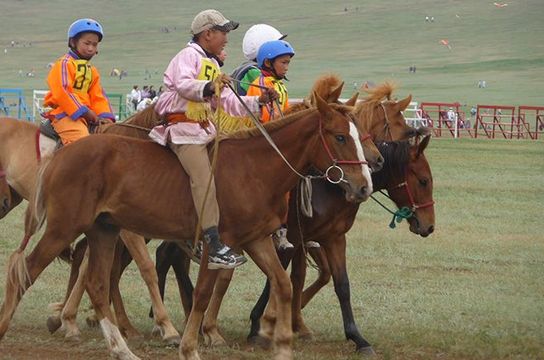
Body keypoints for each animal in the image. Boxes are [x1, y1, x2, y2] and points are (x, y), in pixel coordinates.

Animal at [0, 95, 374, 360]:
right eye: (340, 137)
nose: (364, 186)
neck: (254, 169)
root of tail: (63, 154)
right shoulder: (218, 243)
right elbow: (204, 293)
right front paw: (189, 346)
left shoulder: (256, 240)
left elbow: (282, 285)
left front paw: (281, 344)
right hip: (63, 228)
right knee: (26, 272)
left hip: (102, 232)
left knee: (96, 283)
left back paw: (120, 348)